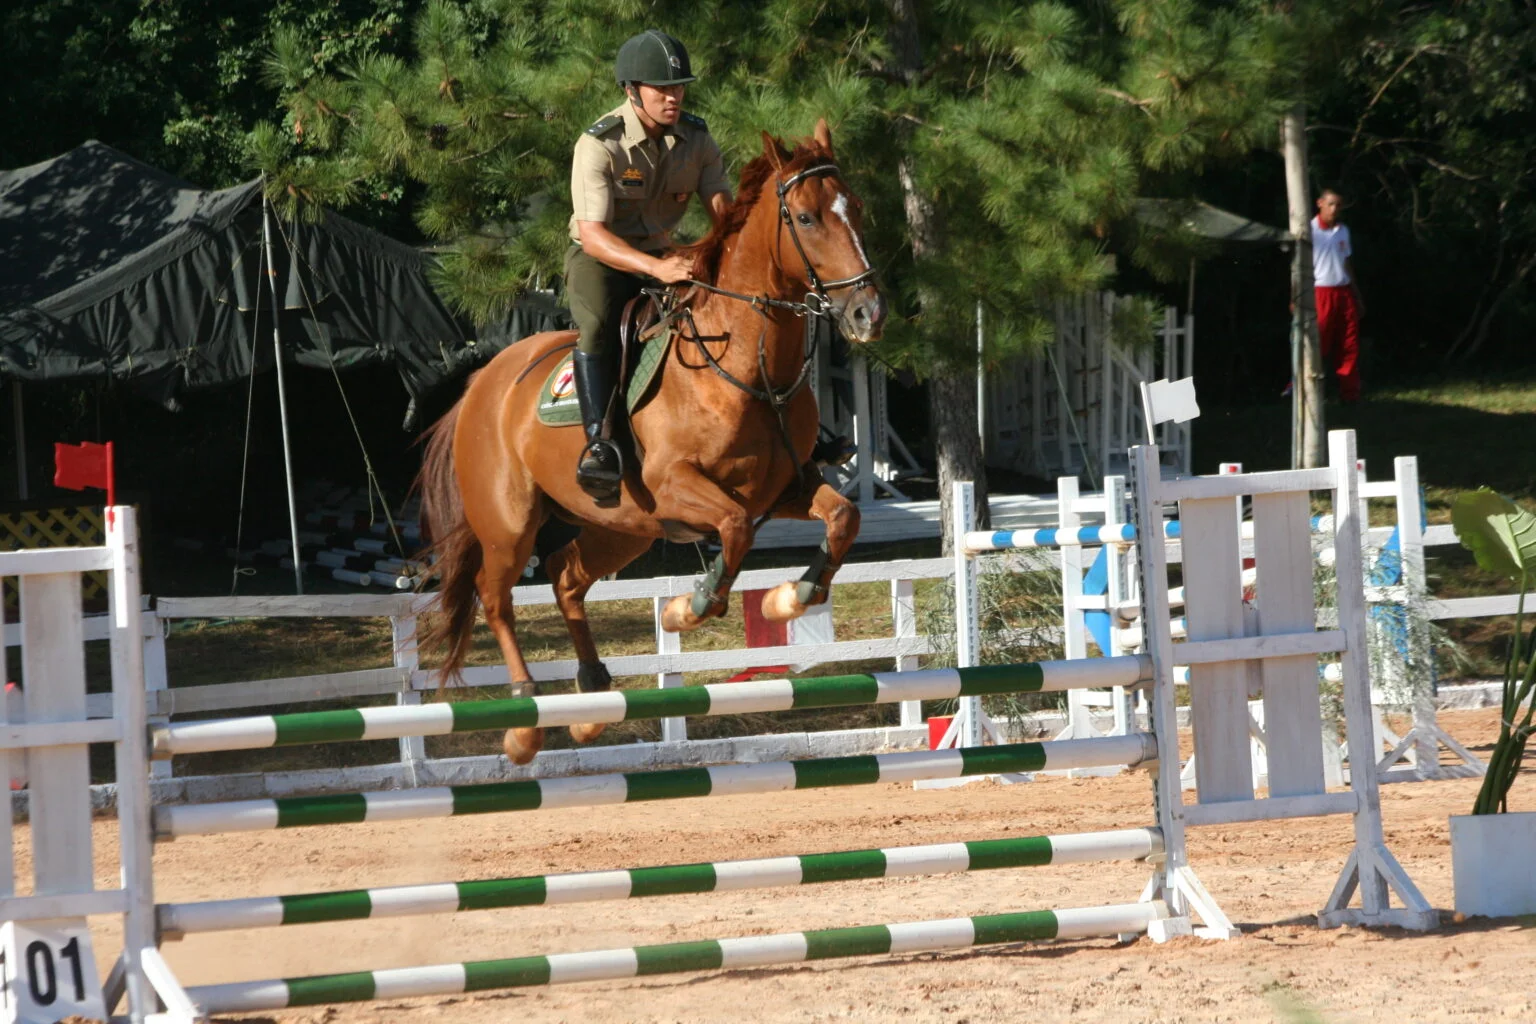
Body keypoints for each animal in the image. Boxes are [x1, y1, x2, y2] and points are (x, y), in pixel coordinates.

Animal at [417, 118, 890, 761]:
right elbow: (735, 532)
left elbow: (843, 518)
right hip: (510, 525)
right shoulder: (676, 486)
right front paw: (691, 607)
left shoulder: (786, 487)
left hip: (620, 528)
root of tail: (479, 384)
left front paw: (788, 597)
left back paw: (591, 703)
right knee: (496, 597)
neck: (744, 364)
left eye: (858, 209)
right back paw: (525, 718)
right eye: (807, 218)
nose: (869, 313)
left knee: (566, 577)